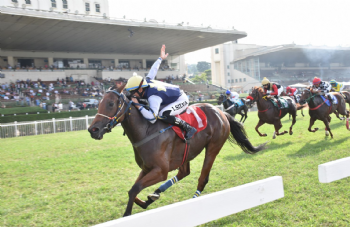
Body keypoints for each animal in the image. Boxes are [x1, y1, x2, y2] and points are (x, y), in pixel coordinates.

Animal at [87, 84, 266, 217]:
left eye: (111, 103)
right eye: (99, 103)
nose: (92, 130)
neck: (146, 131)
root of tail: (220, 112)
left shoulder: (160, 171)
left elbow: (134, 189)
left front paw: (127, 214)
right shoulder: (147, 168)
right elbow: (133, 189)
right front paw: (144, 201)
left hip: (213, 148)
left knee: (202, 179)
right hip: (186, 153)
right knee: (184, 172)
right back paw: (154, 195)